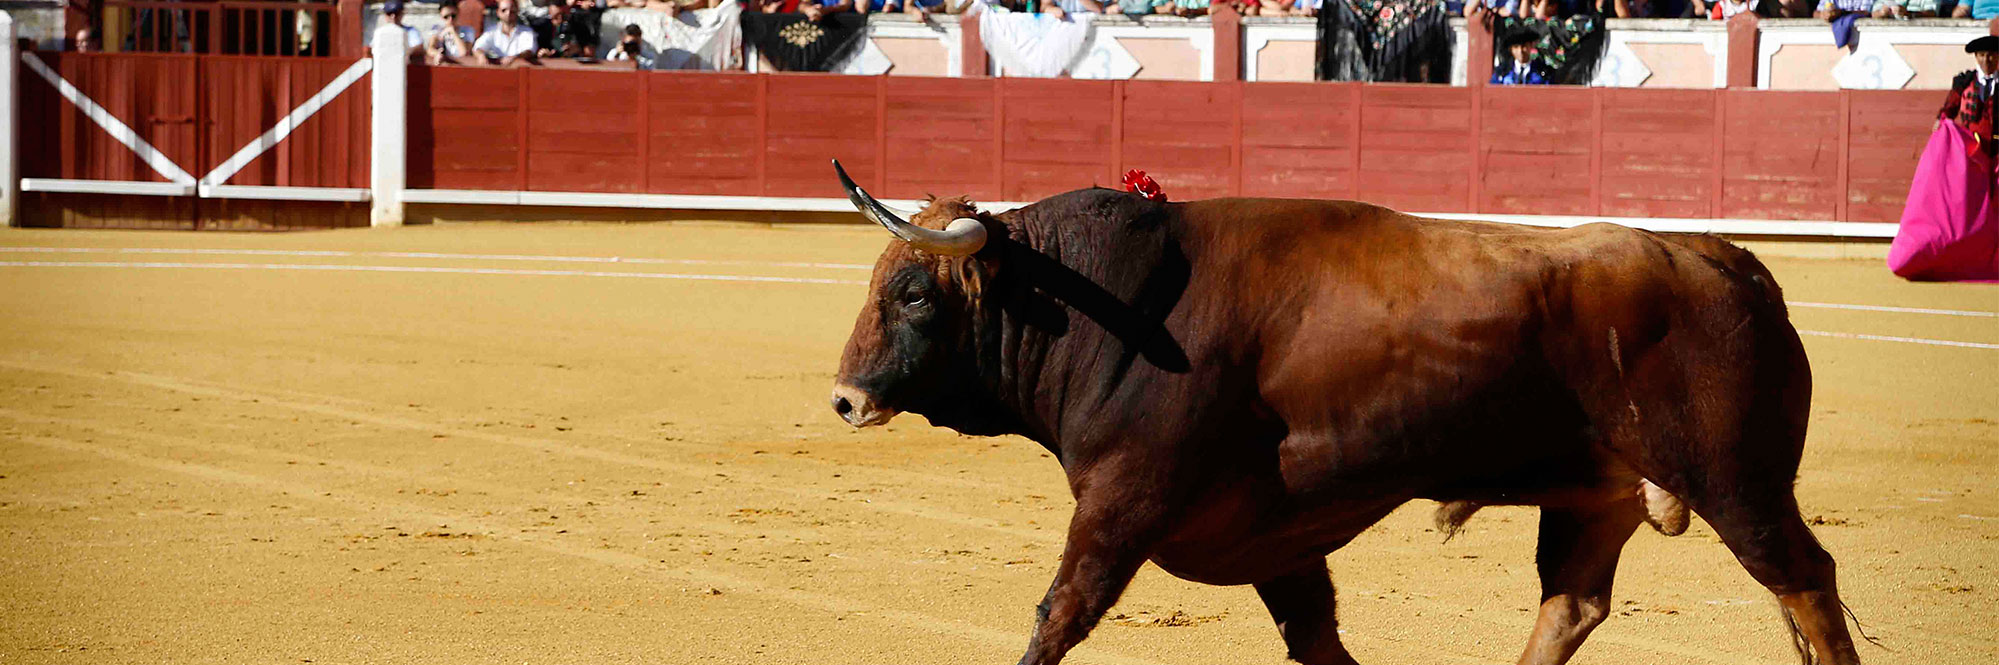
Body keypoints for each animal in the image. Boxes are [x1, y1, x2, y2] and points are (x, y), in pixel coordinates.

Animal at [823, 161, 1855, 663]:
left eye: (911, 293)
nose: (844, 397)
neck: (1109, 300)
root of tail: (1726, 259)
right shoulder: (1275, 535)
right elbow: (1314, 636)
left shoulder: (1123, 502)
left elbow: (1059, 615)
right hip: (1597, 494)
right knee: (1572, 602)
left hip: (1737, 483)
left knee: (1803, 580)